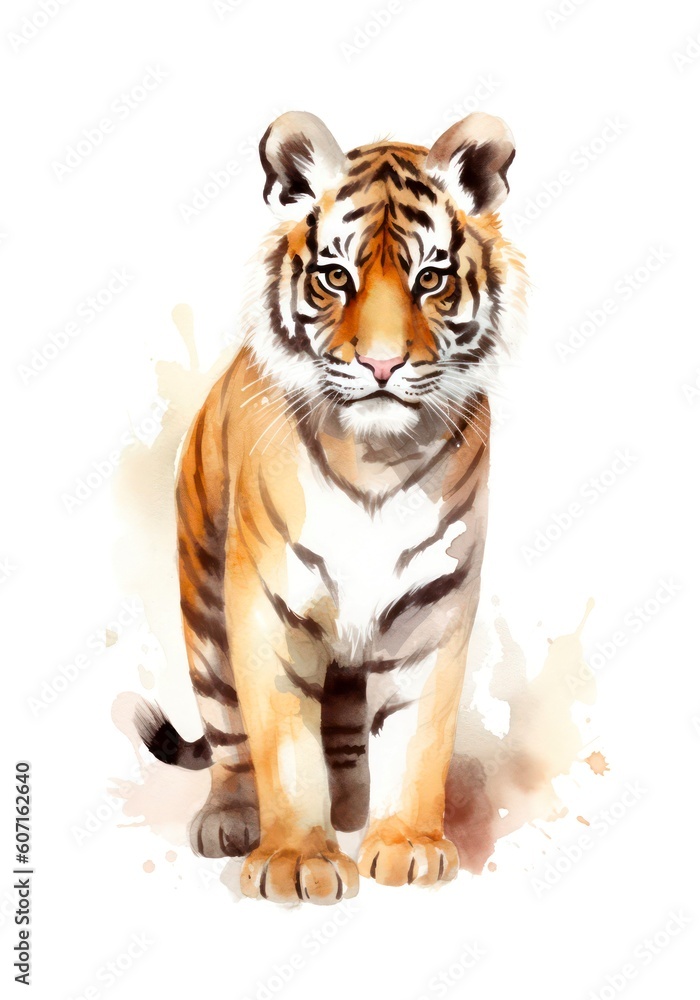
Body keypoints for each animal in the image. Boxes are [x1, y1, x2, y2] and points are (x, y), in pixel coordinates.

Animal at [136, 110, 527, 905]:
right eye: (335, 276)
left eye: (430, 278)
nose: (381, 365)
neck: (375, 459)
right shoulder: (264, 608)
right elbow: (283, 745)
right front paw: (295, 862)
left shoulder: (438, 605)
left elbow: (419, 736)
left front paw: (407, 845)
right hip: (206, 605)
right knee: (228, 736)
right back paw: (230, 820)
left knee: (344, 727)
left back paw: (352, 809)